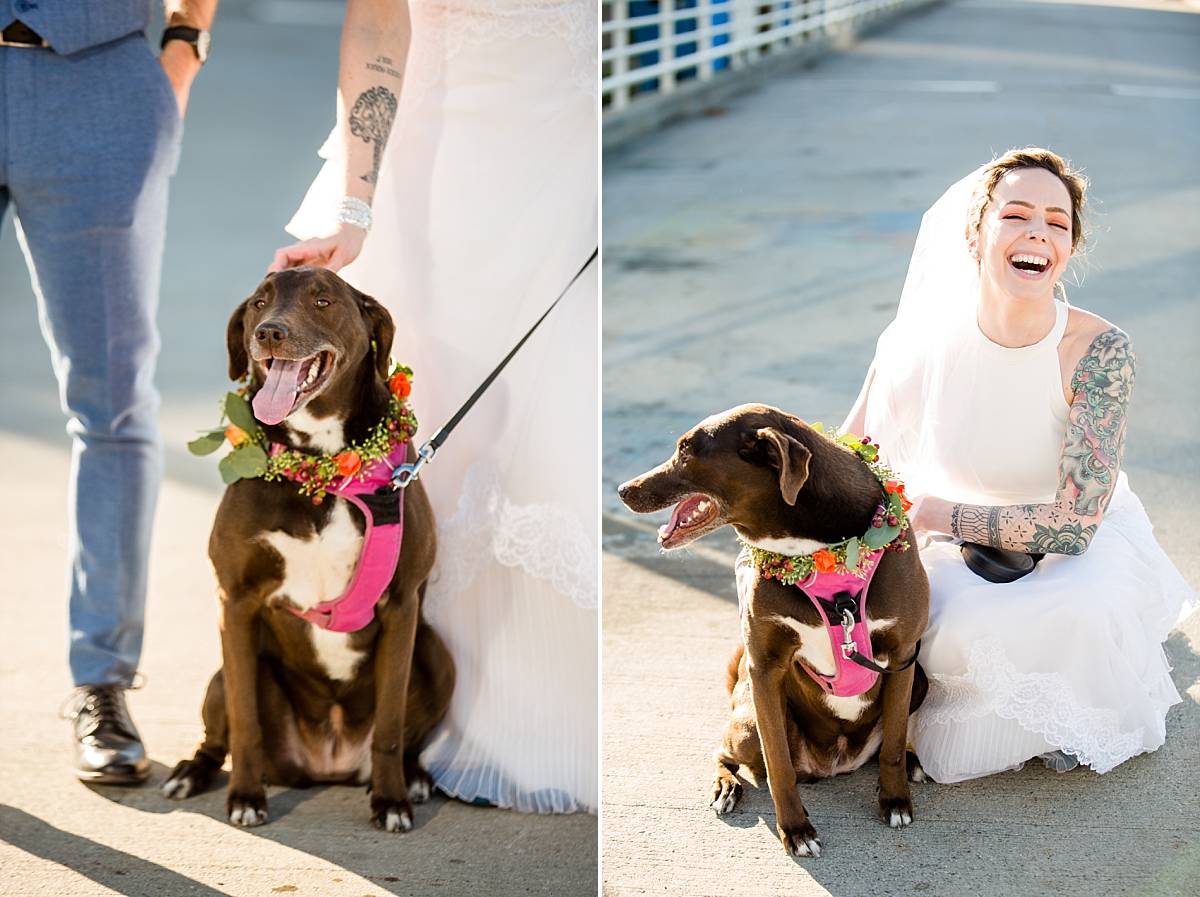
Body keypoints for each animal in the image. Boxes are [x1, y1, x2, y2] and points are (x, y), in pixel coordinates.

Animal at [162, 266, 451, 834]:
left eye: (323, 300)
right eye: (258, 302)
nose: (269, 332)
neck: (321, 470)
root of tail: (327, 765)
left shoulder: (403, 604)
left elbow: (390, 725)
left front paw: (391, 801)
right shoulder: (236, 601)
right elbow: (246, 722)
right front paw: (245, 796)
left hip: (436, 654)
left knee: (406, 734)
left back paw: (414, 777)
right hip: (221, 673)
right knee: (220, 732)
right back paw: (191, 772)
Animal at [619, 405, 926, 853]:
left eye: (686, 451)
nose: (622, 489)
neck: (815, 547)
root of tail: (836, 765)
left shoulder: (903, 654)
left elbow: (892, 747)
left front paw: (896, 800)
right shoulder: (764, 669)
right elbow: (778, 764)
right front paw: (796, 831)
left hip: (920, 680)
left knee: (892, 739)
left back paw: (915, 761)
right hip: (747, 720)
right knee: (725, 750)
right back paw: (726, 787)